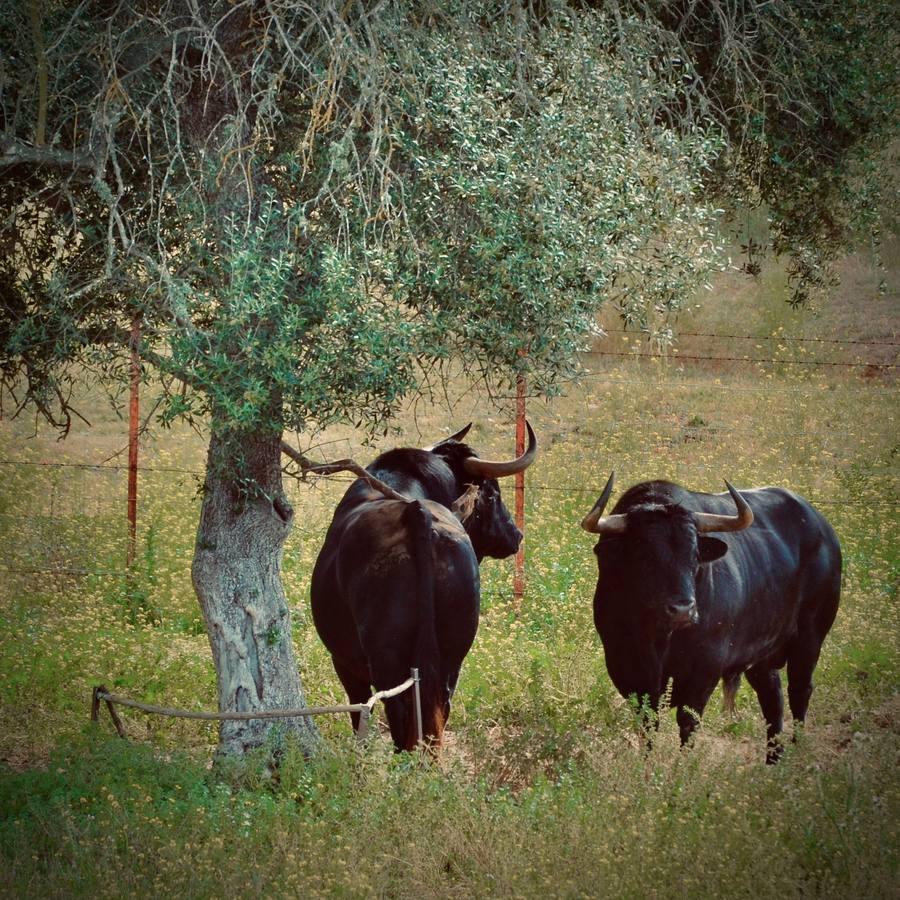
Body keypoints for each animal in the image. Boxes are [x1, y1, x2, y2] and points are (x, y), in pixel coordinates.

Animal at [312, 426, 536, 748]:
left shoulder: (344, 662)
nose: (516, 534)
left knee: (400, 715)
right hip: (451, 658)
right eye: (494, 493)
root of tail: (416, 513)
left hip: (387, 663)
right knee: (436, 711)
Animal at [580, 474, 840, 764]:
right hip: (762, 654)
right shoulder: (625, 666)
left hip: (810, 638)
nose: (683, 609)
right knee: (773, 697)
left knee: (800, 691)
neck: (659, 635)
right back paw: (773, 760)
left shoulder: (705, 668)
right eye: (644, 554)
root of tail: (822, 529)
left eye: (695, 554)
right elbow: (648, 723)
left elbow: (688, 722)